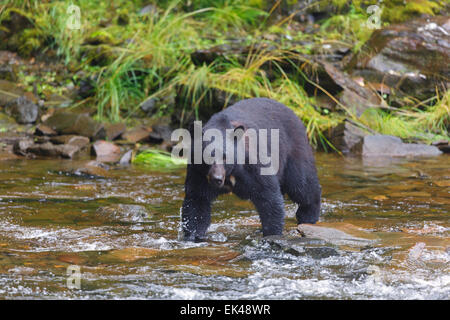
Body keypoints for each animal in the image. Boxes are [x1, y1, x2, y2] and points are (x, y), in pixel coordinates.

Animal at [179, 97, 320, 240]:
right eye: (207, 156)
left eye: (225, 157)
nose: (216, 179)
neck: (231, 173)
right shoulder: (198, 172)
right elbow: (197, 201)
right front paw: (193, 236)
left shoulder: (253, 165)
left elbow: (269, 196)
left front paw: (272, 234)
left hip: (293, 151)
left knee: (302, 185)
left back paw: (308, 216)